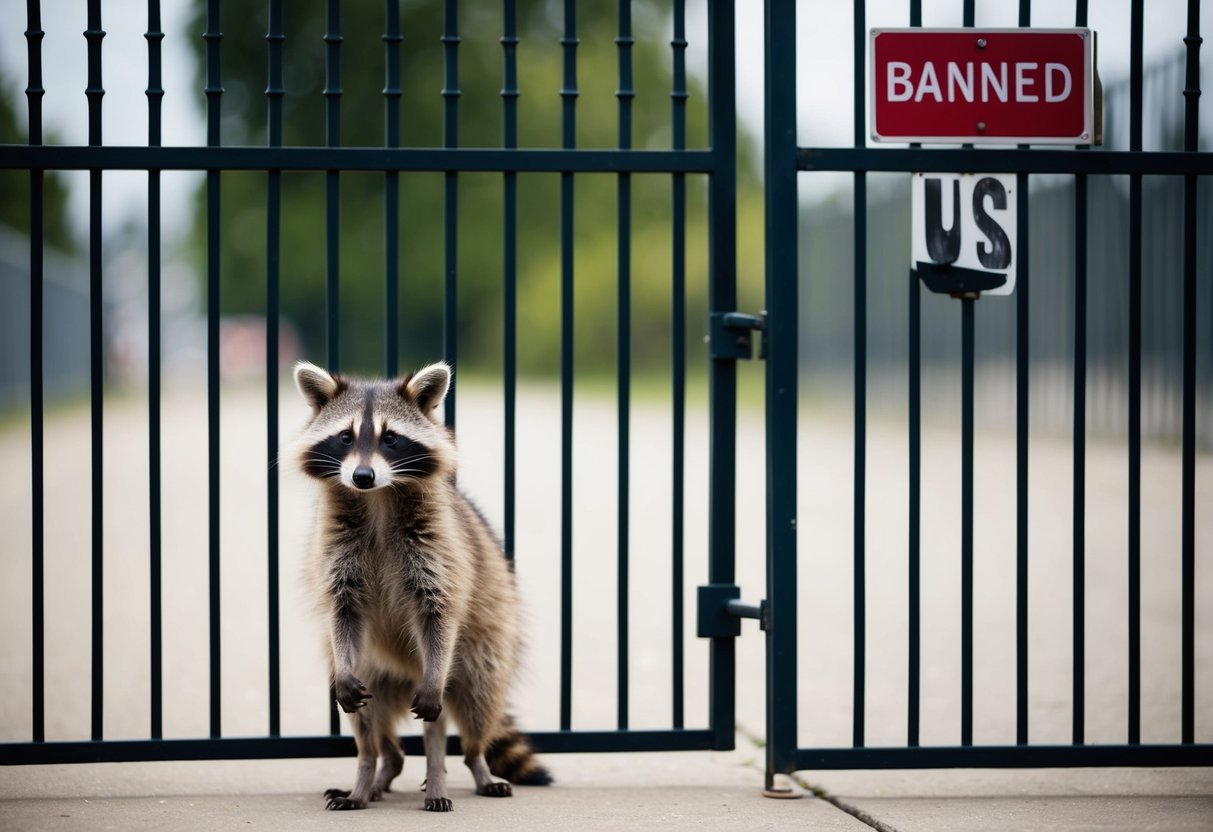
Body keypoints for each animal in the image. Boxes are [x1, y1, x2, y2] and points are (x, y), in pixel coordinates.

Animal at [291, 360, 552, 812]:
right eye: (345, 437)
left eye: (390, 438)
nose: (362, 476)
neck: (377, 499)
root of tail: (408, 670)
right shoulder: (336, 553)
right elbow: (343, 611)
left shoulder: (440, 552)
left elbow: (440, 611)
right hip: (374, 672)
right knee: (367, 726)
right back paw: (371, 774)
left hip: (476, 652)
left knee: (469, 708)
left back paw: (464, 769)